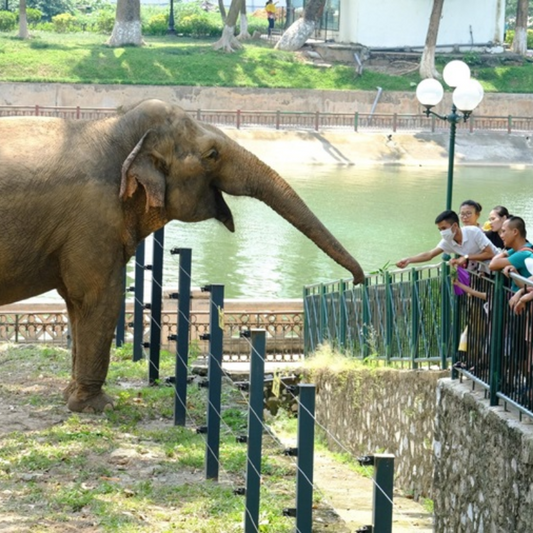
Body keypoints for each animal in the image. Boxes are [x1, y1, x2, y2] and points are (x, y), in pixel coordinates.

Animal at [0, 100, 364, 414]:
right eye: (213, 154)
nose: (359, 279)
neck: (114, 127)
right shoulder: (94, 217)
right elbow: (97, 297)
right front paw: (99, 407)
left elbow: (75, 303)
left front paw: (72, 398)